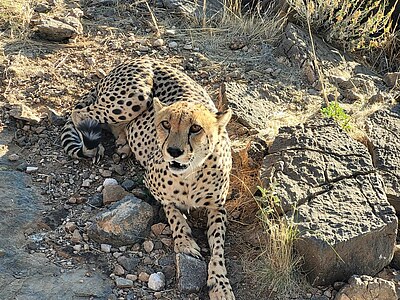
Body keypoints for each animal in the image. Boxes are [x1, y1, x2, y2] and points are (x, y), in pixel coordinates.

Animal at [61, 57, 236, 298]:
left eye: (195, 128)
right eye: (165, 124)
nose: (173, 151)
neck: (190, 174)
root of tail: (140, 58)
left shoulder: (218, 207)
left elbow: (218, 249)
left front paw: (220, 285)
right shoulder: (153, 186)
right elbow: (173, 213)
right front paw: (184, 242)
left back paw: (123, 143)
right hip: (136, 95)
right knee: (79, 113)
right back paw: (98, 146)